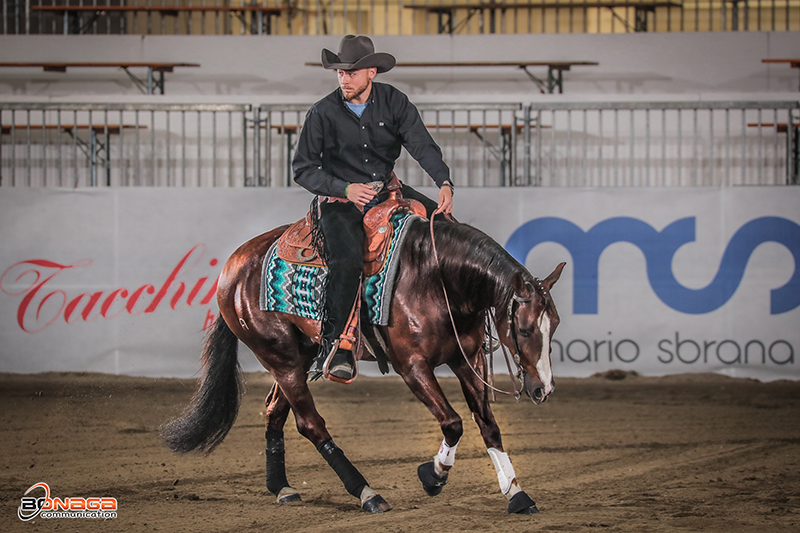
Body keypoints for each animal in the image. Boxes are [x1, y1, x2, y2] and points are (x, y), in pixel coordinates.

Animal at [159, 217, 564, 516]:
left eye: (555, 324)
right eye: (524, 329)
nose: (543, 389)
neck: (437, 278)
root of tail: (233, 266)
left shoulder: (468, 359)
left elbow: (488, 425)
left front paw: (516, 492)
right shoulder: (412, 366)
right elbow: (453, 422)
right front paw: (432, 476)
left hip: (301, 354)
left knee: (275, 411)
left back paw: (283, 488)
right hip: (279, 356)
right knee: (310, 423)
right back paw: (367, 493)